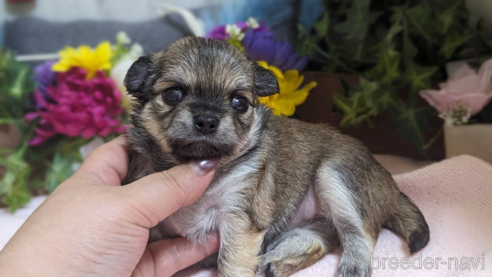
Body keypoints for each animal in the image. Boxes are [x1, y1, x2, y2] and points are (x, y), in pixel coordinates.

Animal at [123, 37, 430, 276]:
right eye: (172, 94)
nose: (207, 120)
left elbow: (230, 263)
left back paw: (350, 267)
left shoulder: (239, 218)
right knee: (320, 238)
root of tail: (390, 186)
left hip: (337, 176)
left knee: (359, 234)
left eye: (239, 102)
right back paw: (276, 261)